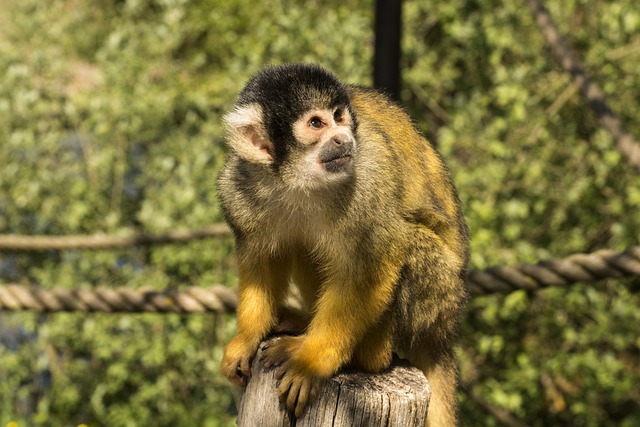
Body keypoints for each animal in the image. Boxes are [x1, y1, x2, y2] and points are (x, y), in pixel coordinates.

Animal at [218, 61, 468, 426]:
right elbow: (260, 259)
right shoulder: (239, 186)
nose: (343, 138)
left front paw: (311, 361)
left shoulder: (368, 173)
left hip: (439, 297)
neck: (297, 180)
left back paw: (368, 356)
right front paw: (246, 339)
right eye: (316, 123)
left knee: (405, 240)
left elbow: (374, 260)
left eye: (339, 117)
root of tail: (447, 332)